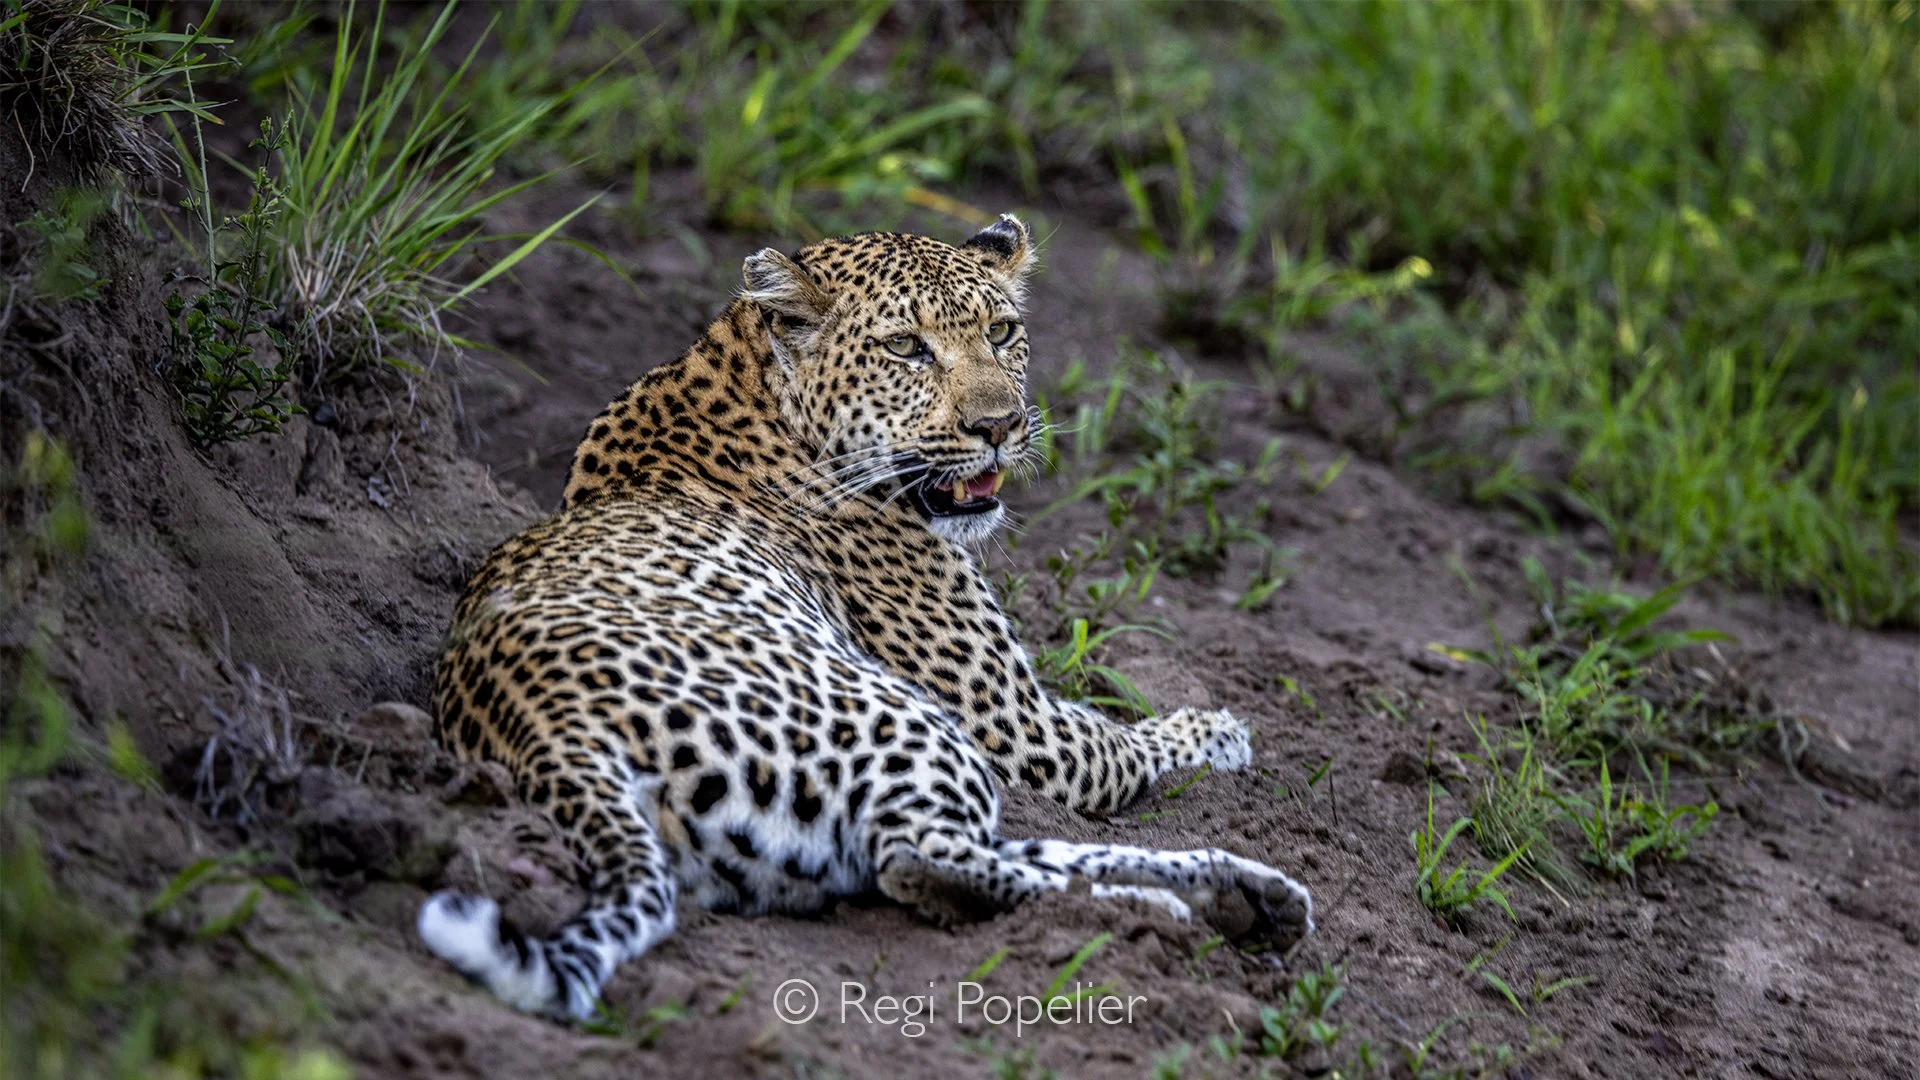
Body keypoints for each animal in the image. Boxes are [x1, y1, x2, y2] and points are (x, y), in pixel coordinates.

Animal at [417, 214, 1313, 1020]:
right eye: (906, 348)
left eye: (1002, 332)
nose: (1000, 427)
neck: (750, 389)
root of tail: (548, 732)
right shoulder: (1018, 726)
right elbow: (1123, 744)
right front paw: (1216, 730)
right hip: (904, 722)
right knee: (930, 854)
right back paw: (1193, 907)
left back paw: (1214, 898)